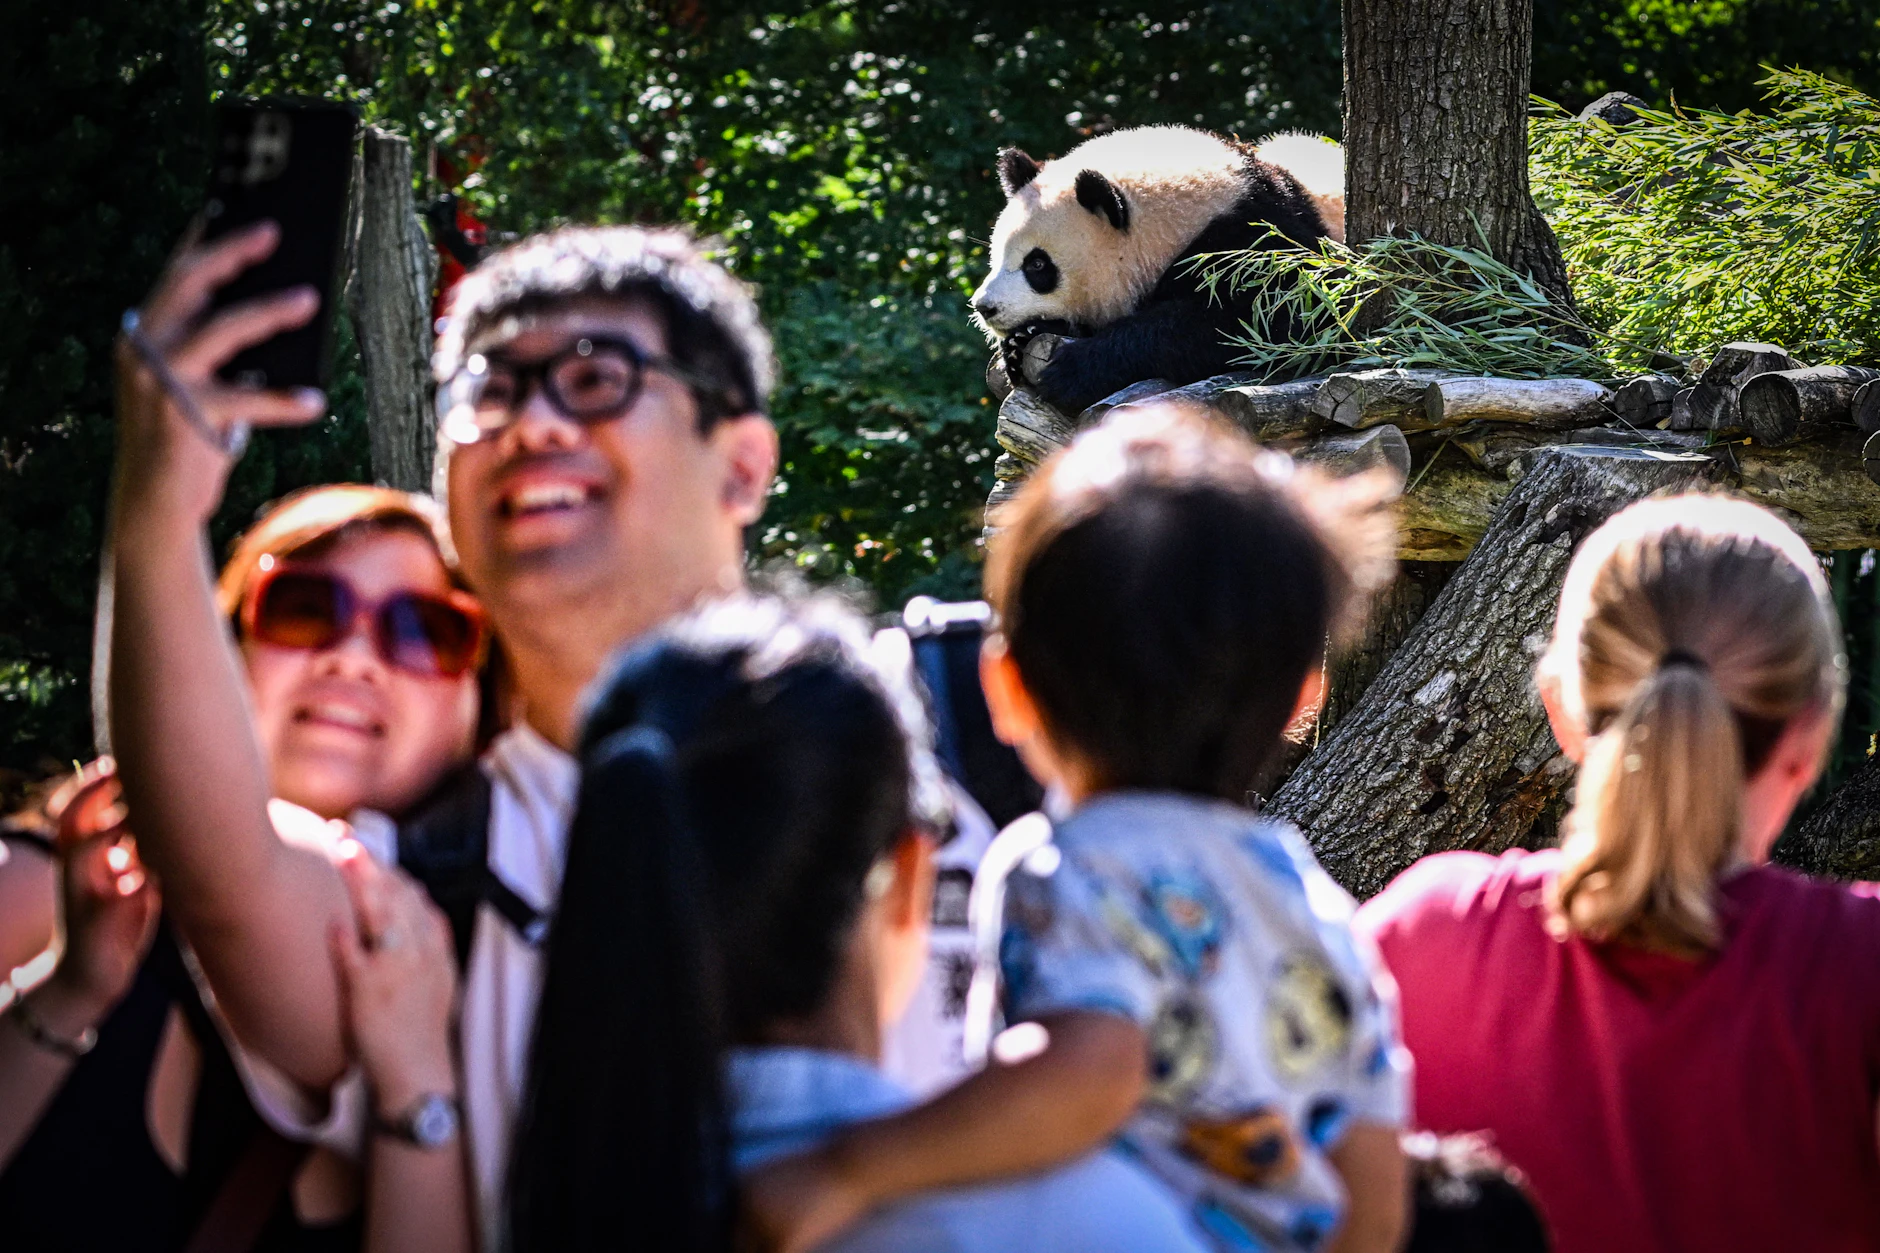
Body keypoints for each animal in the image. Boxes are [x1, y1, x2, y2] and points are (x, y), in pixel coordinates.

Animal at [970, 125, 1345, 415]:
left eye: (1037, 264)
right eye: (997, 254)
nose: (985, 307)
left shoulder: (1257, 240)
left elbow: (1273, 325)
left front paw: (1073, 371)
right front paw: (1020, 343)